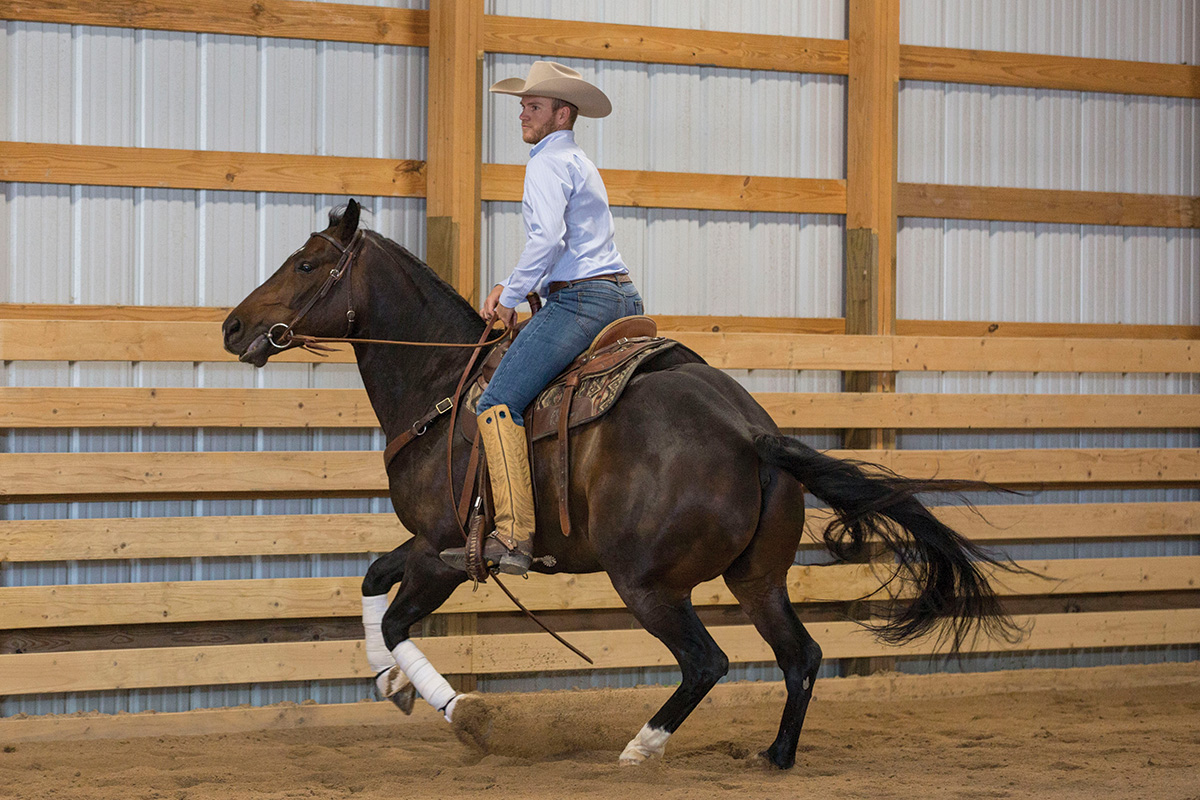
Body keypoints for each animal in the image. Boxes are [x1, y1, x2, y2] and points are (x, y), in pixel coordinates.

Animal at [220, 199, 1017, 767]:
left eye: (304, 264)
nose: (232, 327)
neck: (442, 385)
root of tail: (750, 431)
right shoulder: (422, 545)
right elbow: (369, 583)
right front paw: (388, 679)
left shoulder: (444, 551)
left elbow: (392, 615)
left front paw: (463, 714)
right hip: (756, 579)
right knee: (801, 656)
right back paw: (776, 756)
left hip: (647, 583)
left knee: (707, 662)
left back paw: (642, 746)